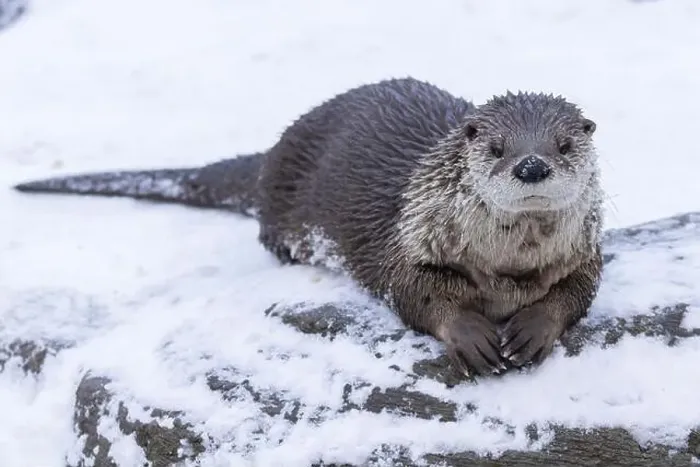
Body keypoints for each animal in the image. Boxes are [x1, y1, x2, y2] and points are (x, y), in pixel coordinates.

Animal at [13, 77, 603, 377]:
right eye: (497, 148)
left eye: (563, 145)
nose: (532, 165)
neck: (509, 270)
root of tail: (275, 152)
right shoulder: (410, 238)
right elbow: (412, 291)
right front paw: (471, 334)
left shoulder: (586, 251)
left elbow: (578, 291)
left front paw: (532, 327)